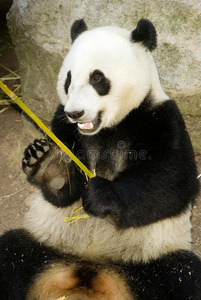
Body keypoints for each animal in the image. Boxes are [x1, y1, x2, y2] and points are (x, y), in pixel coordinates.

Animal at [0, 18, 201, 300]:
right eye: (68, 79)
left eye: (97, 78)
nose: (76, 113)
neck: (105, 129)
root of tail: (92, 271)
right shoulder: (61, 124)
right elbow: (64, 193)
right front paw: (50, 167)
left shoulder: (160, 117)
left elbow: (170, 183)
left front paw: (100, 194)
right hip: (43, 246)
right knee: (12, 254)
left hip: (150, 260)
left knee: (182, 275)